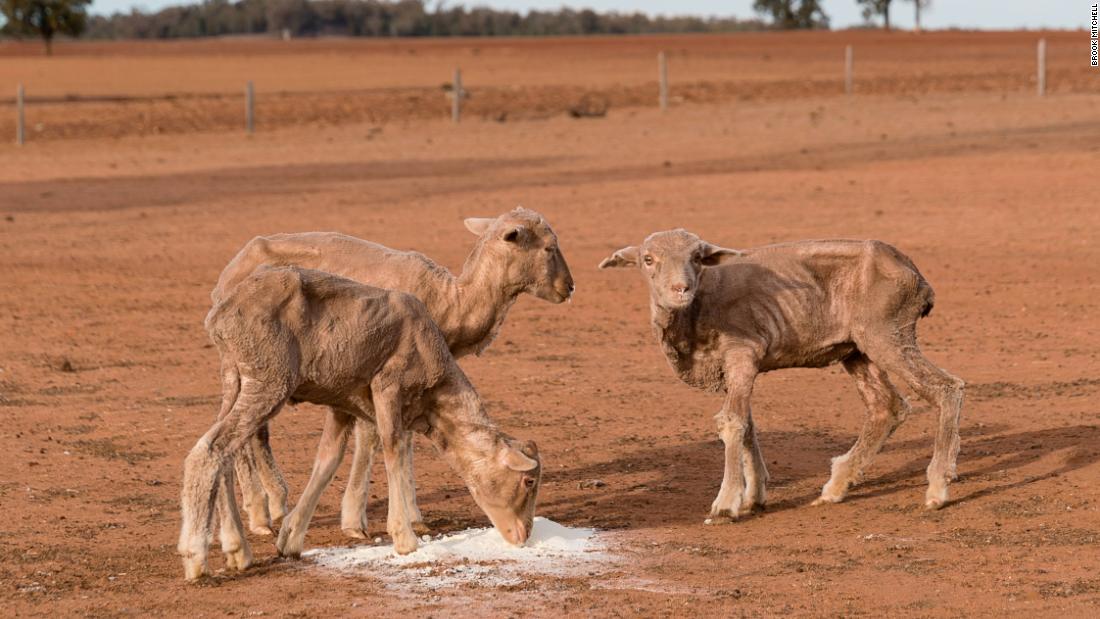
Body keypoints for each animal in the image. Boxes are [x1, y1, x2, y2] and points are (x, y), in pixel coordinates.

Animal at [180, 266, 541, 580]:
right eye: (528, 481)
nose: (524, 535)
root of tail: (221, 313)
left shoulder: (341, 403)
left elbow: (327, 461)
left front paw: (290, 539)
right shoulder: (387, 386)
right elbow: (394, 450)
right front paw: (405, 539)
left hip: (235, 378)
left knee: (223, 455)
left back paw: (236, 549)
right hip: (269, 380)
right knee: (210, 450)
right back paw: (195, 557)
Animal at [213, 205, 576, 540]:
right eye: (548, 247)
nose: (569, 288)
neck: (454, 300)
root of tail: (227, 277)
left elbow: (406, 438)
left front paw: (411, 516)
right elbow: (373, 439)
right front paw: (358, 521)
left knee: (252, 432)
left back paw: (269, 506)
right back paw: (260, 514)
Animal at [598, 229, 968, 521]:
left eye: (698, 258)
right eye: (648, 259)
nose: (681, 288)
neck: (698, 308)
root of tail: (915, 274)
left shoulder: (742, 353)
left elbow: (731, 423)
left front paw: (725, 504)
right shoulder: (735, 369)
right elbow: (747, 426)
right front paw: (754, 496)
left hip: (887, 333)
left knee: (947, 388)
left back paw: (937, 488)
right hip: (857, 348)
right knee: (887, 407)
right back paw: (836, 486)